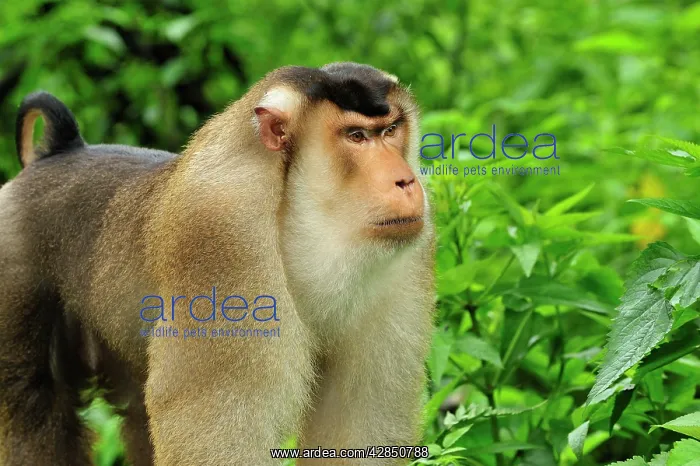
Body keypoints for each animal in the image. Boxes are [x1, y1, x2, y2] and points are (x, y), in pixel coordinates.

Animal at [0, 62, 435, 466]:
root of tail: (59, 153)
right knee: (31, 401)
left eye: (391, 129)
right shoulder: (222, 237)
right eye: (356, 136)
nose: (406, 181)